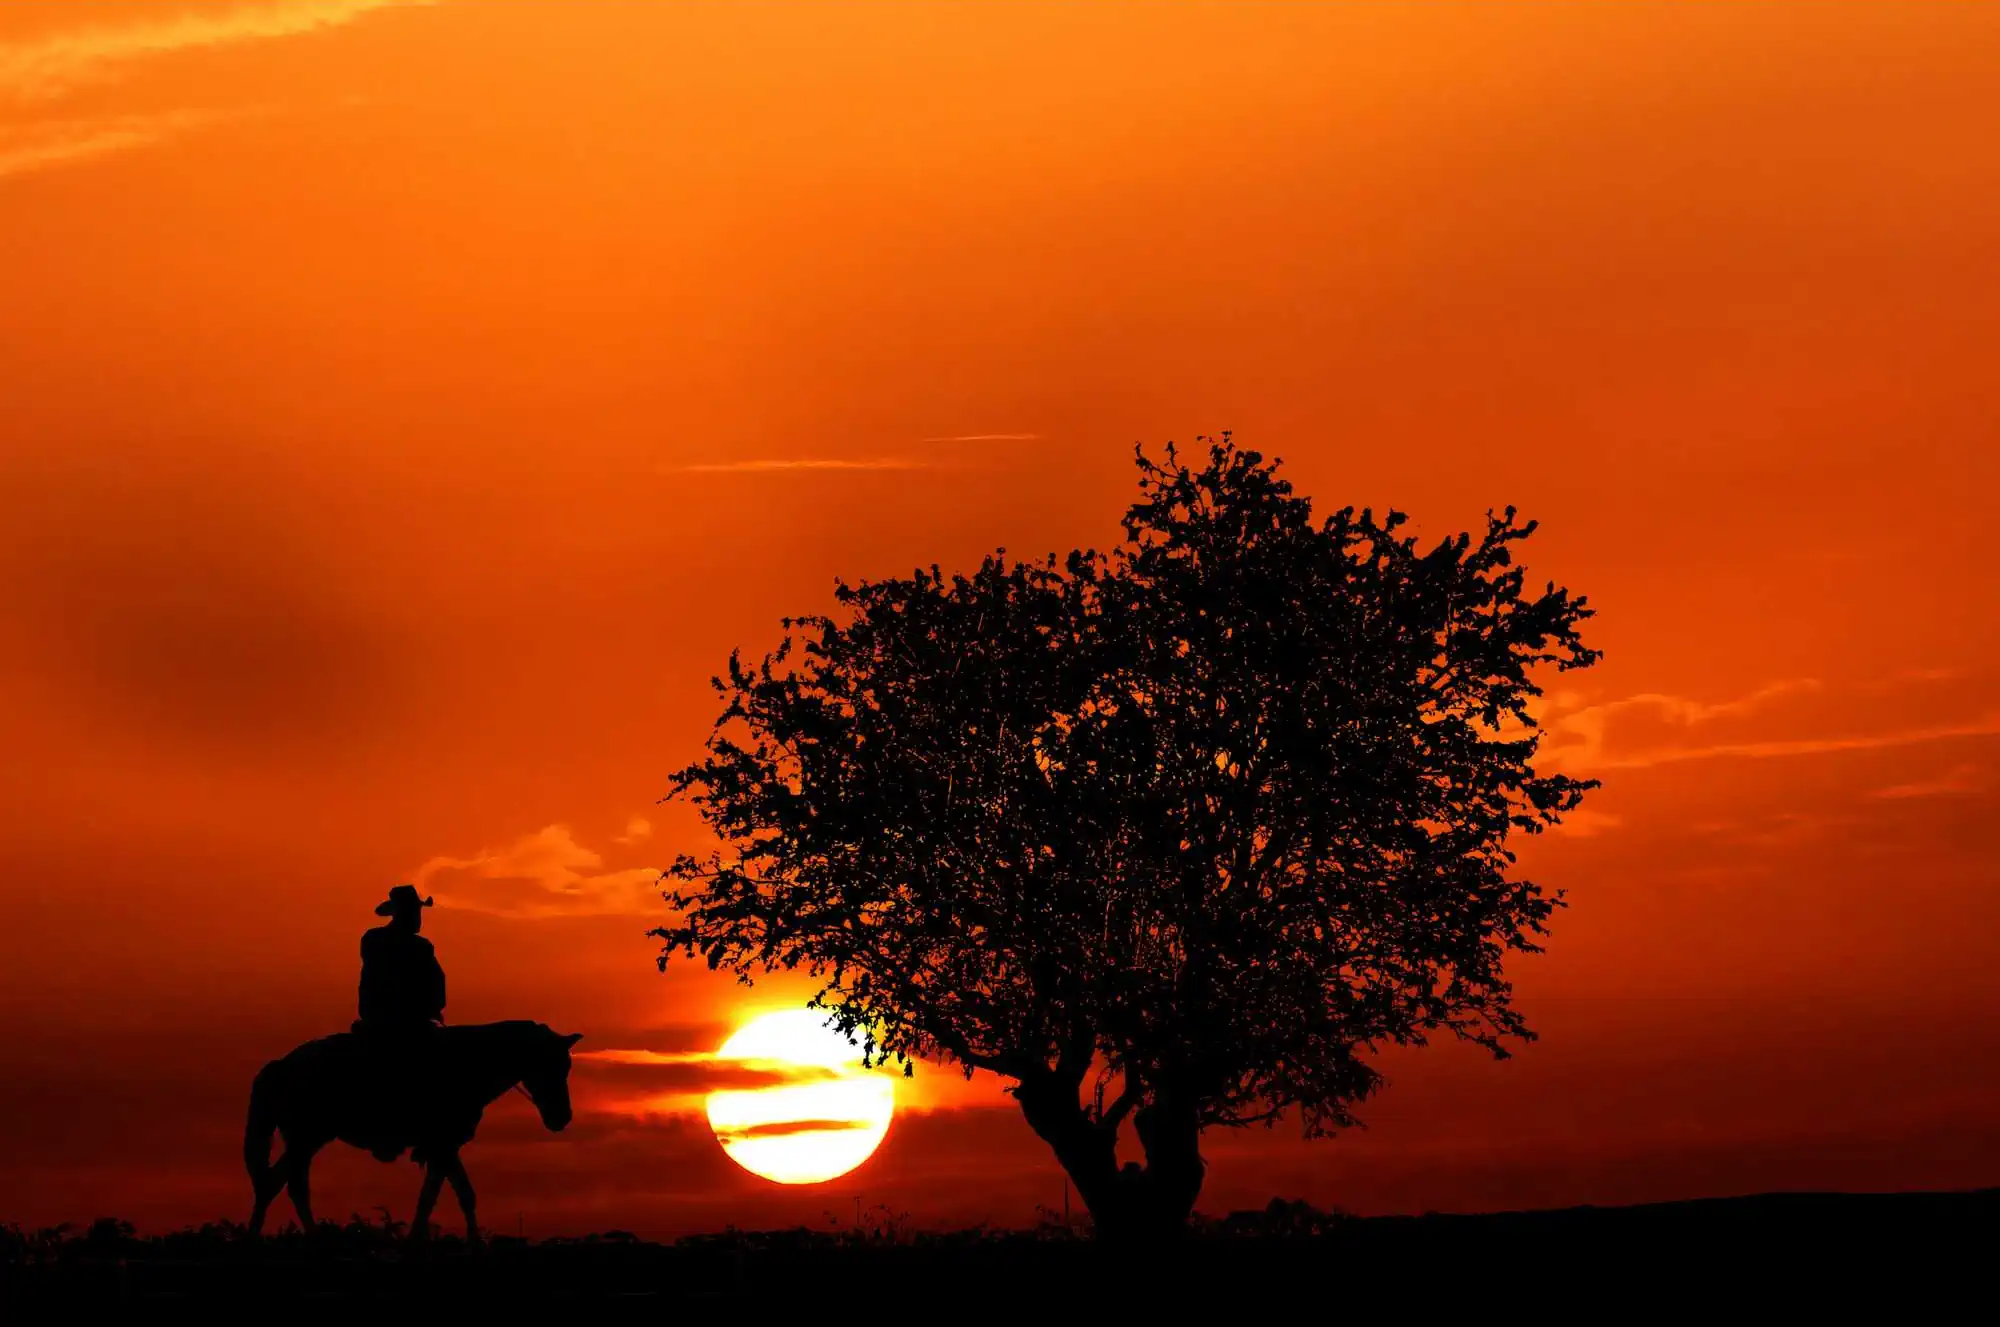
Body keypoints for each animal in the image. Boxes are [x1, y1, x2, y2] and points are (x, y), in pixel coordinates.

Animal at [246, 1019, 584, 1239]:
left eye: (567, 1066)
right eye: (549, 1065)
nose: (562, 1118)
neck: (468, 1063)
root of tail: (284, 1065)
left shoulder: (445, 1147)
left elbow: (458, 1195)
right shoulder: (442, 1145)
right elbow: (436, 1196)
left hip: (305, 1141)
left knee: (278, 1184)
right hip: (305, 1139)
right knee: (285, 1186)